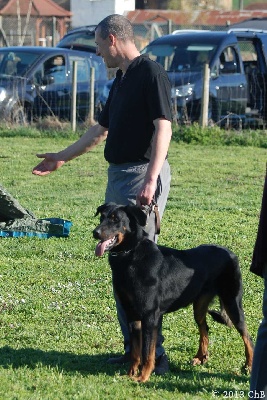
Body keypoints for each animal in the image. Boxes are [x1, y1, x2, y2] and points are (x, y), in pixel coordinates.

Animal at [93, 203, 254, 382]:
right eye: (102, 217)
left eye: (115, 219)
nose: (95, 233)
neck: (130, 255)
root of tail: (230, 253)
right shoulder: (132, 314)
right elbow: (135, 351)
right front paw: (130, 374)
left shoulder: (150, 316)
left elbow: (147, 352)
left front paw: (143, 377)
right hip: (199, 306)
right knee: (205, 327)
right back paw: (201, 357)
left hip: (232, 302)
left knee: (247, 336)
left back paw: (249, 365)